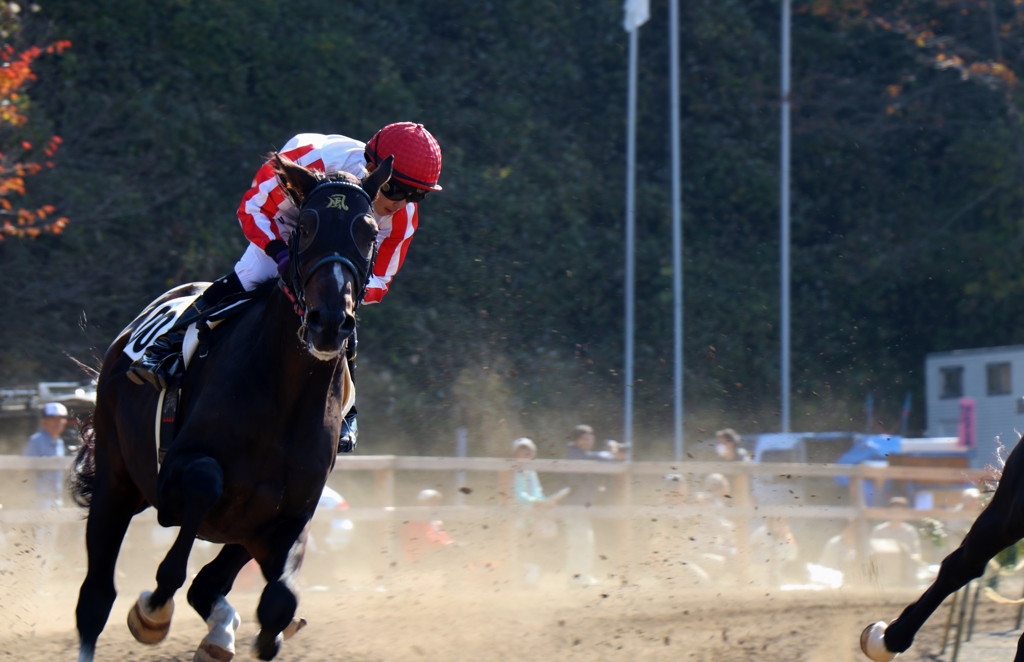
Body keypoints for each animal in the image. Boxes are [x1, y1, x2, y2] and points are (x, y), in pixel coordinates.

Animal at [66, 154, 389, 662]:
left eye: (370, 232)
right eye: (307, 225)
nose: (330, 322)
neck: (283, 396)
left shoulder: (291, 511)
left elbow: (278, 601)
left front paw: (268, 630)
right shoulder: (173, 477)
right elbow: (203, 482)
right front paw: (153, 611)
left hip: (240, 532)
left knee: (207, 586)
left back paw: (222, 631)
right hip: (116, 479)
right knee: (96, 597)